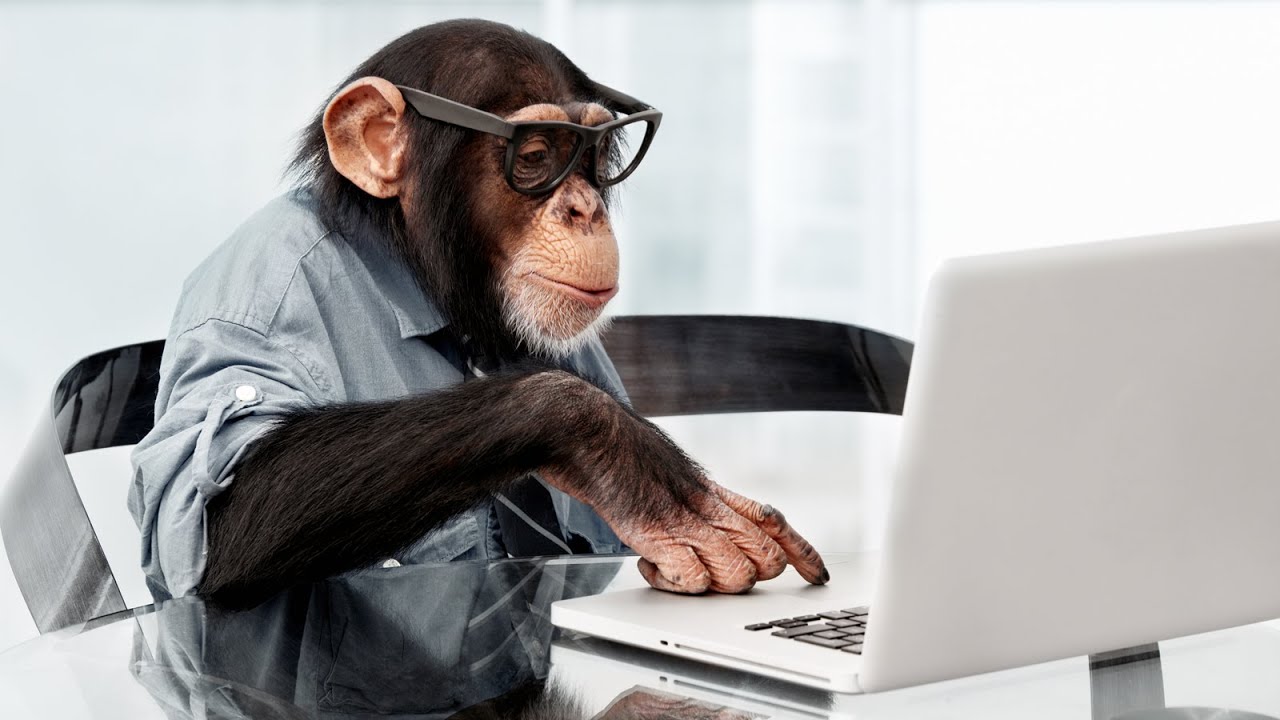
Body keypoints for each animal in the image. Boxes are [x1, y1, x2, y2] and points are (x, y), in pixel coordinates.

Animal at [127, 19, 828, 609]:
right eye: (539, 154)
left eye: (598, 154)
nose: (584, 208)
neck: (420, 276)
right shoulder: (260, 296)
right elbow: (219, 512)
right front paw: (635, 464)